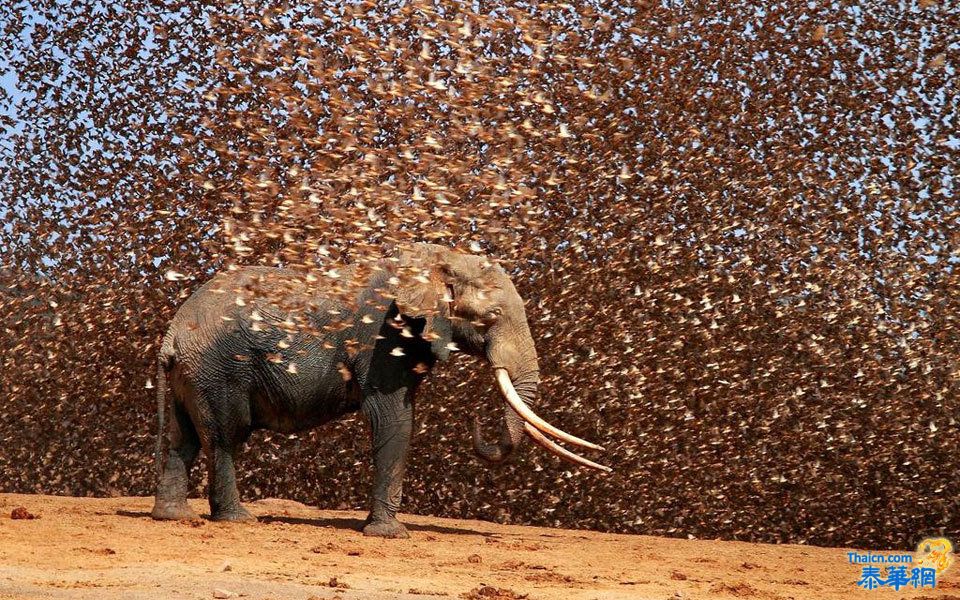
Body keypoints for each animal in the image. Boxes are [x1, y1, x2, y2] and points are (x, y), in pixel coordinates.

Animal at [152, 244, 608, 540]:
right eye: (492, 316)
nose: (477, 422)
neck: (436, 262)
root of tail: (172, 333)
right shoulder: (383, 339)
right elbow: (394, 420)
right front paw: (391, 535)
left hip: (193, 373)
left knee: (183, 438)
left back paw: (172, 517)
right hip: (219, 368)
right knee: (225, 435)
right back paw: (238, 520)